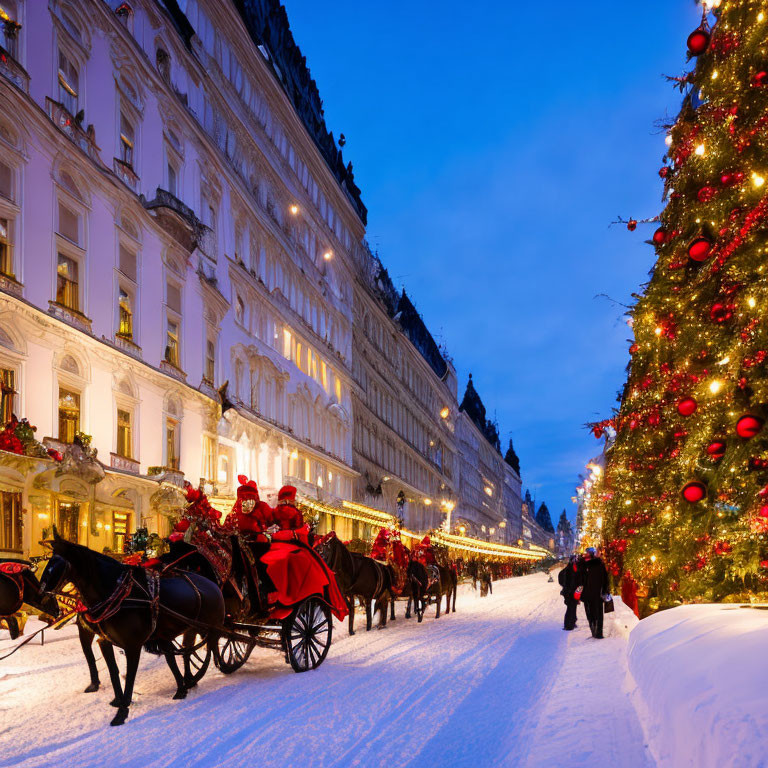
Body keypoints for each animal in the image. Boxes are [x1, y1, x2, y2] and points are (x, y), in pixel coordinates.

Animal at [41, 532, 225, 728]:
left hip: (207, 628)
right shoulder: (104, 641)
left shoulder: (133, 646)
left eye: (55, 565)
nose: (42, 595)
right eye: (48, 561)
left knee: (208, 649)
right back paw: (183, 686)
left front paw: (122, 711)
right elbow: (113, 672)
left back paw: (200, 675)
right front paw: (117, 700)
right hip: (178, 632)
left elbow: (130, 677)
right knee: (182, 653)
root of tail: (213, 585)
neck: (118, 593)